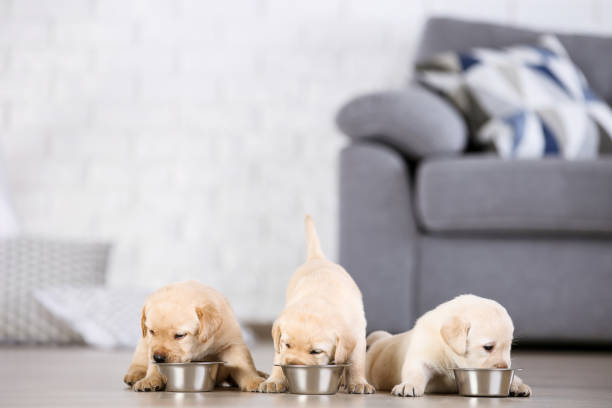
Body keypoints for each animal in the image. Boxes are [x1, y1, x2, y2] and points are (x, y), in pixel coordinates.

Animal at [124, 280, 266, 392]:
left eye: (180, 335)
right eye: (152, 331)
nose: (158, 357)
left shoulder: (232, 343)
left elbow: (243, 363)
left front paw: (254, 380)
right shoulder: (150, 345)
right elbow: (153, 366)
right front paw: (150, 379)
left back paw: (261, 374)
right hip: (143, 344)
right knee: (139, 360)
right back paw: (135, 374)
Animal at [256, 215, 376, 394]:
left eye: (316, 352)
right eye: (287, 344)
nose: (293, 364)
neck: (319, 299)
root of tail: (318, 258)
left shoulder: (358, 336)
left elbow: (356, 363)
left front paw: (358, 382)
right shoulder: (280, 345)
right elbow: (278, 356)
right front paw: (275, 380)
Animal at [366, 294, 532, 396]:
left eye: (509, 346)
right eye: (488, 347)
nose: (504, 367)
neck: (450, 354)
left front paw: (516, 383)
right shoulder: (423, 354)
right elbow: (415, 371)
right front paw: (409, 384)